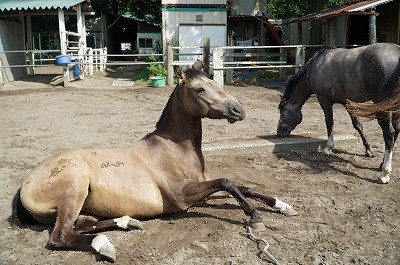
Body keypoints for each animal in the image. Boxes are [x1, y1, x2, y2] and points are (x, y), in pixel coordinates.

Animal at [16, 65, 296, 260]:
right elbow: (228, 182)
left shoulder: (203, 188)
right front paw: (255, 216)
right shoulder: (183, 196)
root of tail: (26, 185)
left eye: (213, 82)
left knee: (81, 225)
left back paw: (126, 222)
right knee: (60, 236)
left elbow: (240, 186)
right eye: (199, 89)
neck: (173, 149)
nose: (238, 110)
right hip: (75, 189)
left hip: (83, 207)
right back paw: (105, 245)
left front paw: (282, 205)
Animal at [278, 43, 400, 184]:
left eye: (282, 112)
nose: (279, 132)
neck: (316, 65)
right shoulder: (347, 102)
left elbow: (329, 123)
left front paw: (328, 148)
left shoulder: (324, 100)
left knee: (389, 133)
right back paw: (381, 165)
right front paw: (368, 150)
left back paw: (384, 174)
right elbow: (357, 125)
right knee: (396, 130)